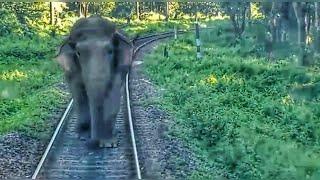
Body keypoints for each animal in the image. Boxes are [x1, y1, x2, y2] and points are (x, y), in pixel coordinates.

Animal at [55, 15, 133, 148]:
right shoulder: (72, 70)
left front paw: (108, 143)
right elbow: (79, 95)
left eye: (110, 51)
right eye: (78, 53)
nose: (93, 142)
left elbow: (113, 93)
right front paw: (83, 136)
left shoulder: (118, 67)